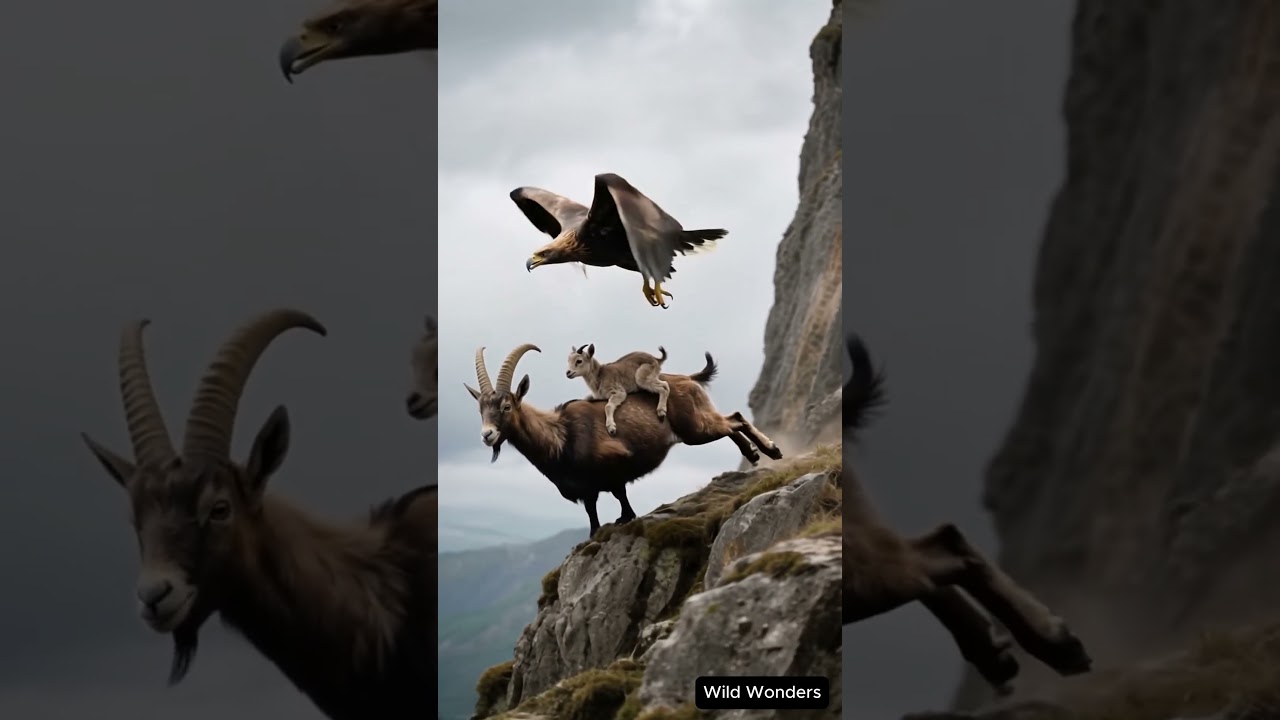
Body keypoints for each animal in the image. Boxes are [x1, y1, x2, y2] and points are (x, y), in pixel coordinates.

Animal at [464, 343, 783, 537]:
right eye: (480, 408)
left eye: (507, 406)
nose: (487, 435)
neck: (560, 437)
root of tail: (690, 378)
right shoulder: (587, 489)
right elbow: (595, 514)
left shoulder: (614, 467)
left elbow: (619, 497)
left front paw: (624, 518)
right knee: (733, 421)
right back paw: (758, 453)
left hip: (695, 430)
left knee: (734, 421)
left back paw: (769, 450)